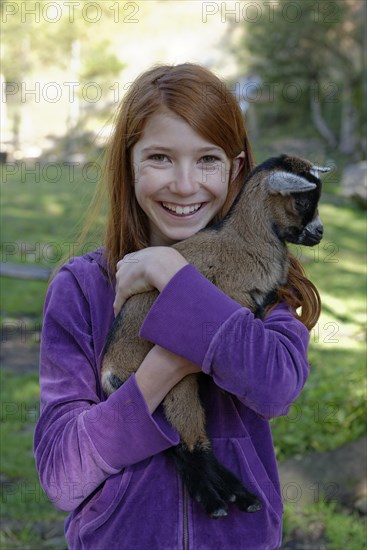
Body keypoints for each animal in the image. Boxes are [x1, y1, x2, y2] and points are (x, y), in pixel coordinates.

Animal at [102, 156, 330, 520]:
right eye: (303, 201)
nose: (319, 233)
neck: (245, 242)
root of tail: (108, 369)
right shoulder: (231, 296)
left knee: (176, 442)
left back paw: (242, 496)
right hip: (166, 382)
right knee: (187, 441)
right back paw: (219, 502)